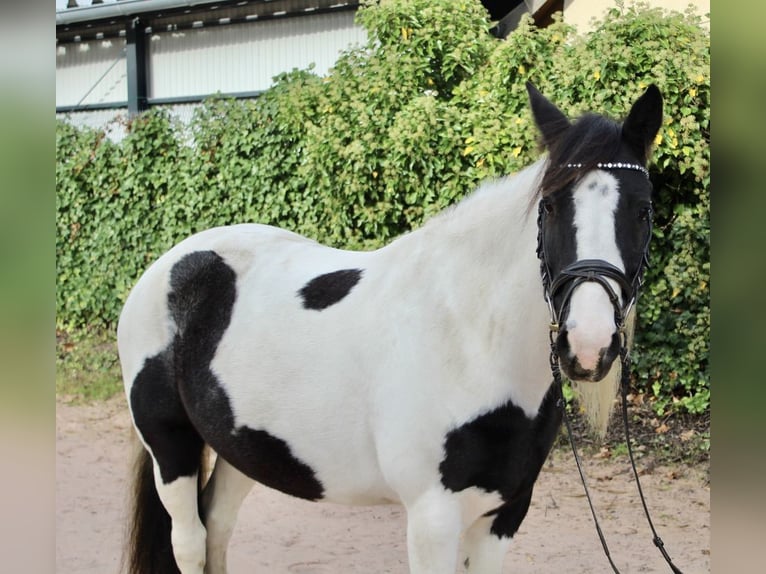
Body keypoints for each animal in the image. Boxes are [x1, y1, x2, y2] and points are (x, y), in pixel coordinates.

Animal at [120, 82, 664, 574]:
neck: (470, 341)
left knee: (217, 525)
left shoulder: (505, 512)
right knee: (190, 541)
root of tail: (172, 264)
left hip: (242, 448)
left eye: (643, 210)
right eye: (549, 208)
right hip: (170, 446)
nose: (588, 344)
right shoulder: (432, 519)